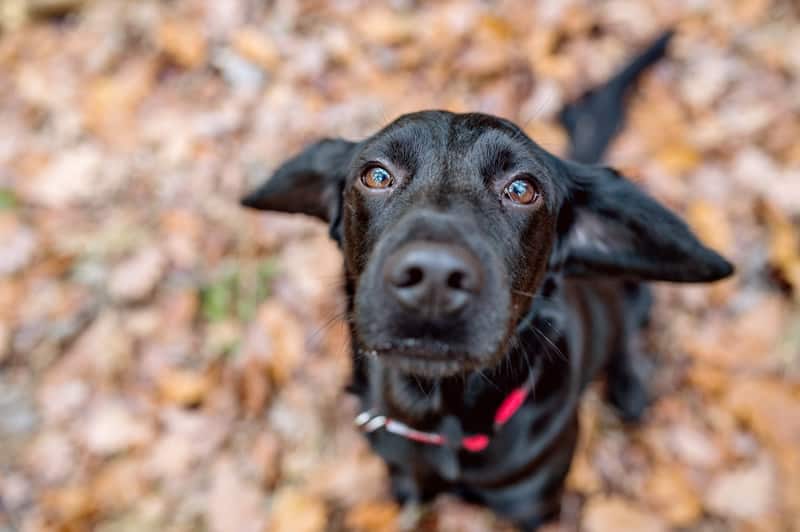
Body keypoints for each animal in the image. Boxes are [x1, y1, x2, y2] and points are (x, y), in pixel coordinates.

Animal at [242, 32, 732, 528]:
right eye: (376, 175)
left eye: (521, 188)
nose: (434, 278)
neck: (443, 421)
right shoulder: (407, 482)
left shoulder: (533, 507)